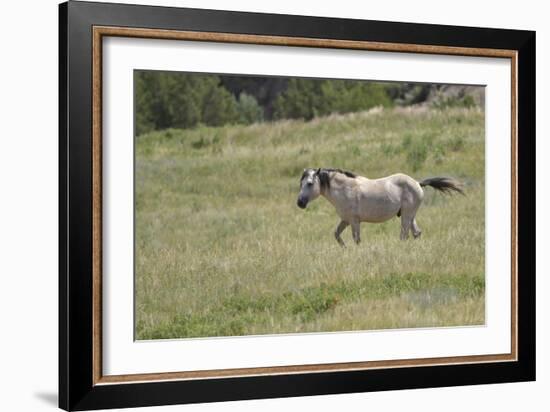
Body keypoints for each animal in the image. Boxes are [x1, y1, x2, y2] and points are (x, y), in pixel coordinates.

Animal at [298, 168, 466, 248]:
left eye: (310, 184)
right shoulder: (345, 220)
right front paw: (344, 248)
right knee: (416, 233)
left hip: (406, 216)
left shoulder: (354, 221)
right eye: (301, 183)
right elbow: (336, 235)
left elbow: (357, 239)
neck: (346, 189)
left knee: (404, 235)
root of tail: (417, 183)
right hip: (410, 215)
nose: (300, 203)